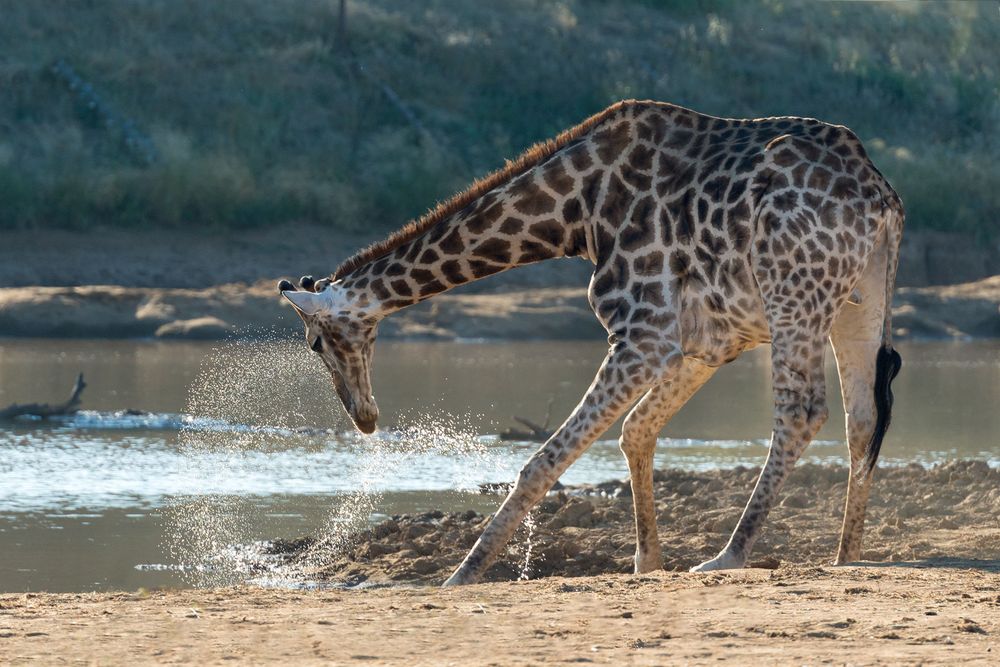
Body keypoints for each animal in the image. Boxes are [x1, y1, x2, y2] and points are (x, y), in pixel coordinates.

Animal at [278, 98, 904, 584]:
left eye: (315, 344)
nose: (364, 418)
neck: (575, 212)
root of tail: (880, 195)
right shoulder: (703, 341)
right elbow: (636, 431)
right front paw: (647, 563)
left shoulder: (643, 333)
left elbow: (542, 460)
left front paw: (463, 573)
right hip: (853, 302)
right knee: (863, 417)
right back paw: (846, 556)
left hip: (793, 293)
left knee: (801, 411)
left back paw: (729, 554)